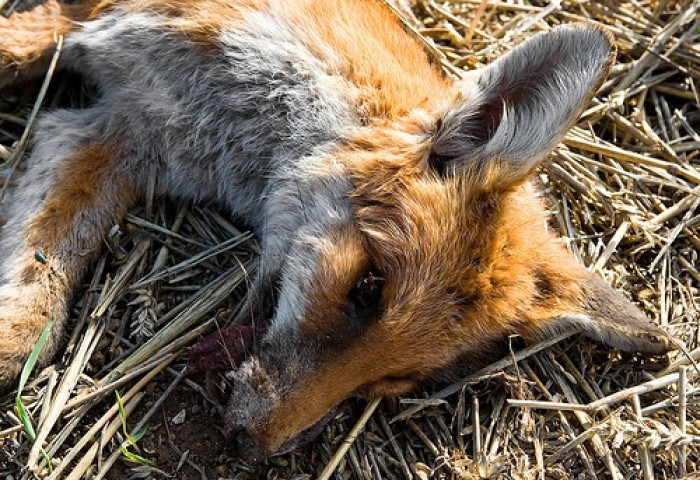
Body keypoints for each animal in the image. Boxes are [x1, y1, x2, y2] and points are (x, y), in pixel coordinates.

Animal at [0, 0, 680, 462]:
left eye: (392, 384)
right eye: (369, 287)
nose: (250, 444)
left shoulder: (112, 136)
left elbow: (42, 275)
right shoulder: (92, 34)